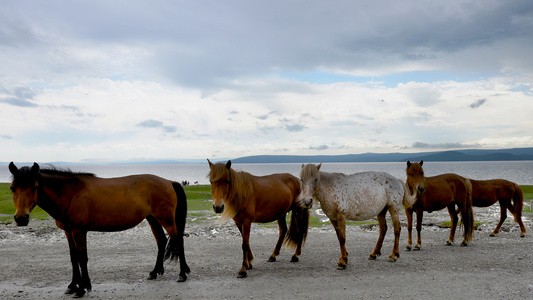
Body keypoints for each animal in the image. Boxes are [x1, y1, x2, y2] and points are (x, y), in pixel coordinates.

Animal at [8, 162, 189, 298]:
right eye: (12, 188)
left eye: (34, 186)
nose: (21, 218)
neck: (70, 193)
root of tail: (169, 182)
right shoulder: (68, 231)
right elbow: (73, 258)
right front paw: (72, 286)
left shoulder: (79, 231)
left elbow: (82, 258)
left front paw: (82, 288)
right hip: (152, 219)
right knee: (161, 241)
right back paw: (154, 272)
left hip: (166, 220)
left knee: (178, 240)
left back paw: (182, 274)